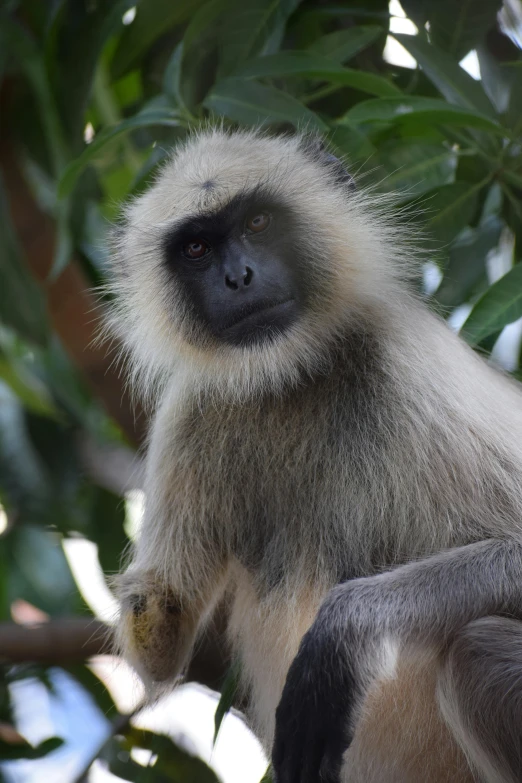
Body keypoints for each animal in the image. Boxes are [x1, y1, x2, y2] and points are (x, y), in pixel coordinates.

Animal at [106, 130, 520, 783]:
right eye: (197, 248)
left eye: (257, 222)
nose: (239, 277)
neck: (291, 375)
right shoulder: (191, 412)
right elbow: (161, 650)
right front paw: (150, 612)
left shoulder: (407, 363)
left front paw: (342, 635)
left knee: (477, 651)